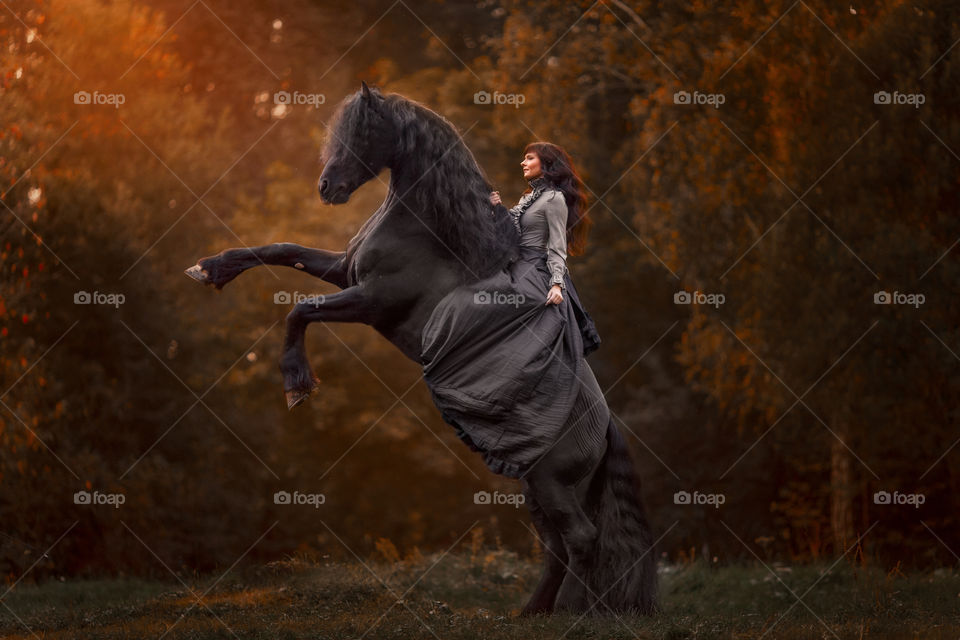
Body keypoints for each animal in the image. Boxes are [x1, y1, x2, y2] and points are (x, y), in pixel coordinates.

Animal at [184, 82, 659, 616]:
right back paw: (530, 613)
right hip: (535, 485)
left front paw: (297, 386)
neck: (428, 233)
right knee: (558, 544)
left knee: (581, 538)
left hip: (551, 483)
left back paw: (568, 613)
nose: (327, 188)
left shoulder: (372, 301)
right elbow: (281, 250)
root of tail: (605, 427)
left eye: (363, 132)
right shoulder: (344, 272)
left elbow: (299, 311)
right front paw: (211, 269)